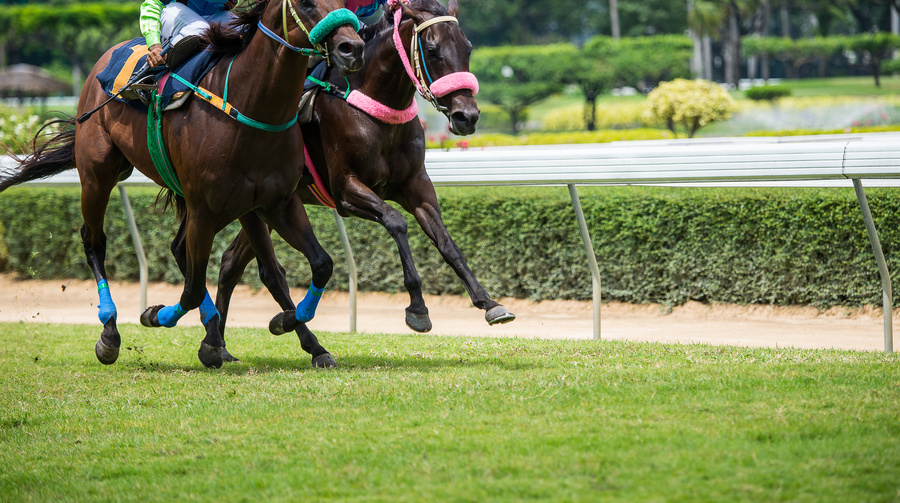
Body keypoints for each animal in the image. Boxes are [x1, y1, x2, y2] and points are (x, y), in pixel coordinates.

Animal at [1, 0, 366, 370]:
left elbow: (319, 265)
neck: (250, 107)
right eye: (305, 4)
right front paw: (154, 315)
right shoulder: (204, 209)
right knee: (94, 241)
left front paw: (285, 324)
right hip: (97, 174)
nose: (352, 48)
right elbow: (191, 290)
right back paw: (111, 333)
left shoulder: (277, 203)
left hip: (233, 205)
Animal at [198, 0, 516, 362]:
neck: (376, 109)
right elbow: (396, 222)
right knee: (258, 268)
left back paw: (221, 344)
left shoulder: (416, 186)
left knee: (231, 264)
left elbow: (447, 242)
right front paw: (418, 309)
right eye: (432, 50)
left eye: (468, 47)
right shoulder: (346, 191)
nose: (467, 116)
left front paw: (489, 302)